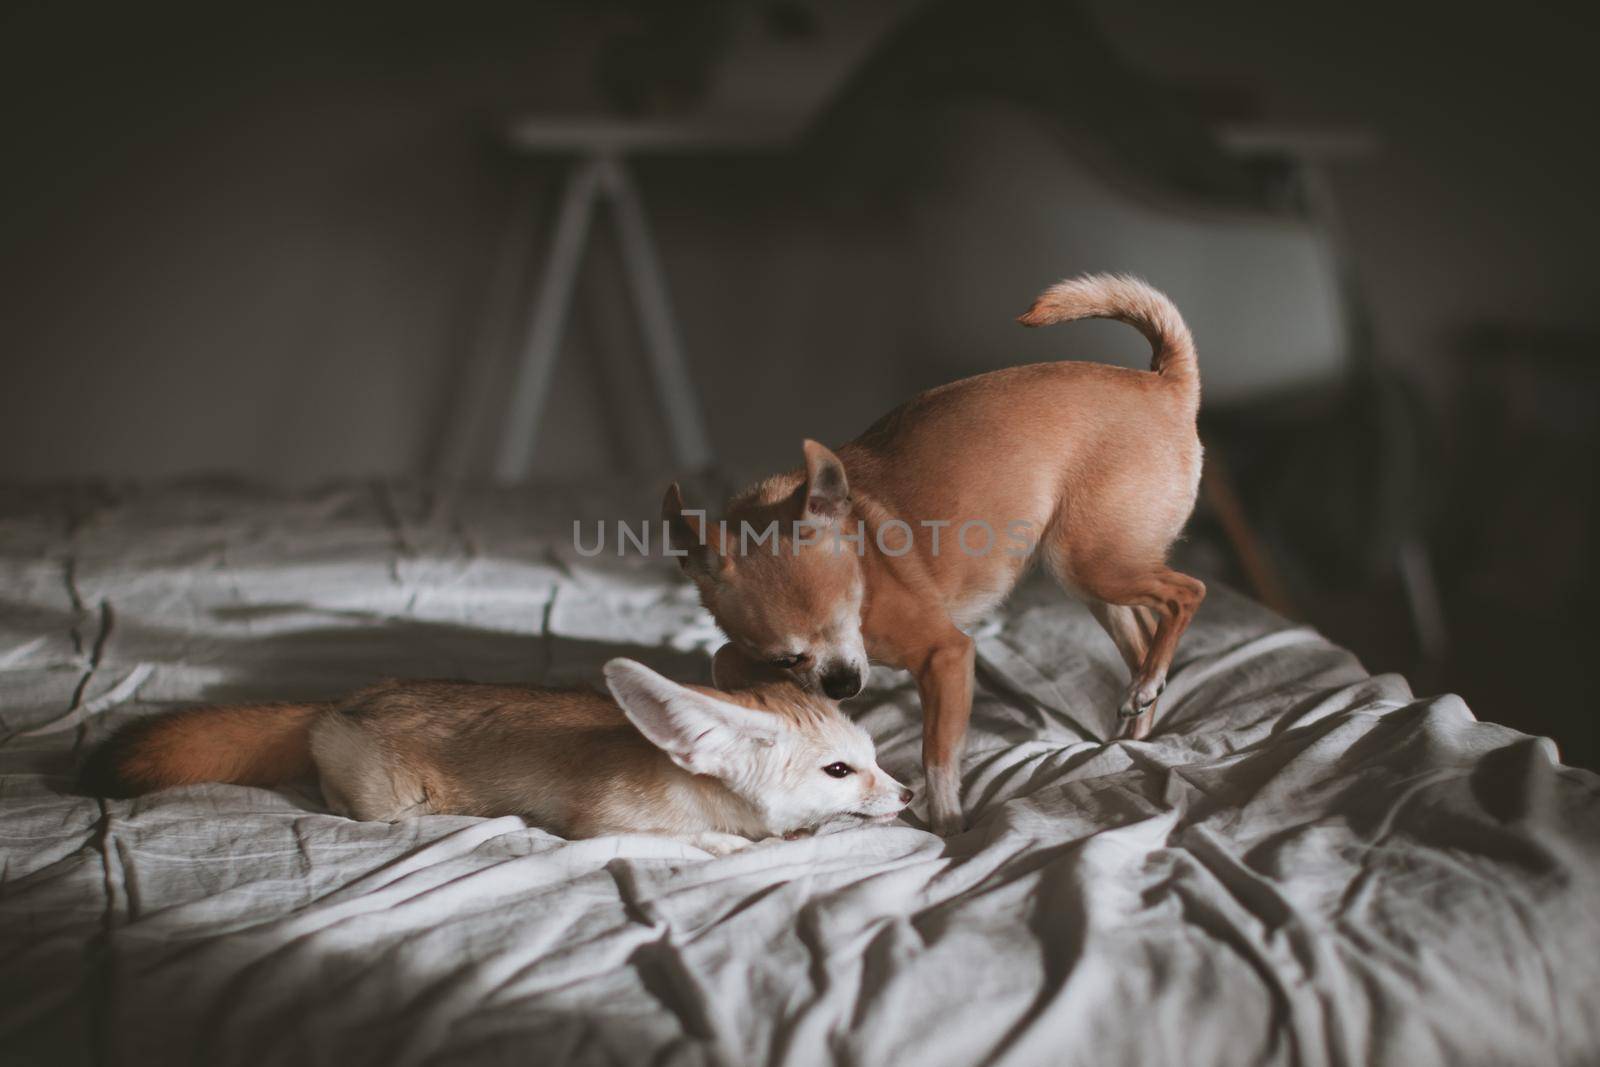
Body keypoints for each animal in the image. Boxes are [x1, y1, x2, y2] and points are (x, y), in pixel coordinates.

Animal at [662, 273, 1203, 831]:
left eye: (850, 615)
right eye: (785, 658)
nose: (842, 686)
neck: (863, 558)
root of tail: (1165, 383)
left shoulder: (947, 656)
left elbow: (937, 754)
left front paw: (947, 825)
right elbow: (725, 654)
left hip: (1089, 564)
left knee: (1187, 593)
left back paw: (1147, 684)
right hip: (1088, 569)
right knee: (1144, 628)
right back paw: (1137, 721)